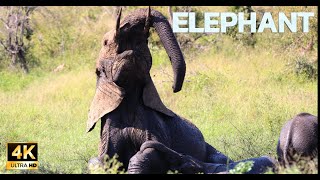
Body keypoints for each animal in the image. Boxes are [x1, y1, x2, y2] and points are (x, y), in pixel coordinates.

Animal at [86, 7, 232, 174]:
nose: (174, 87)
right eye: (105, 42)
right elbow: (103, 159)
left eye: (145, 41)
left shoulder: (155, 124)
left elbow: (153, 149)